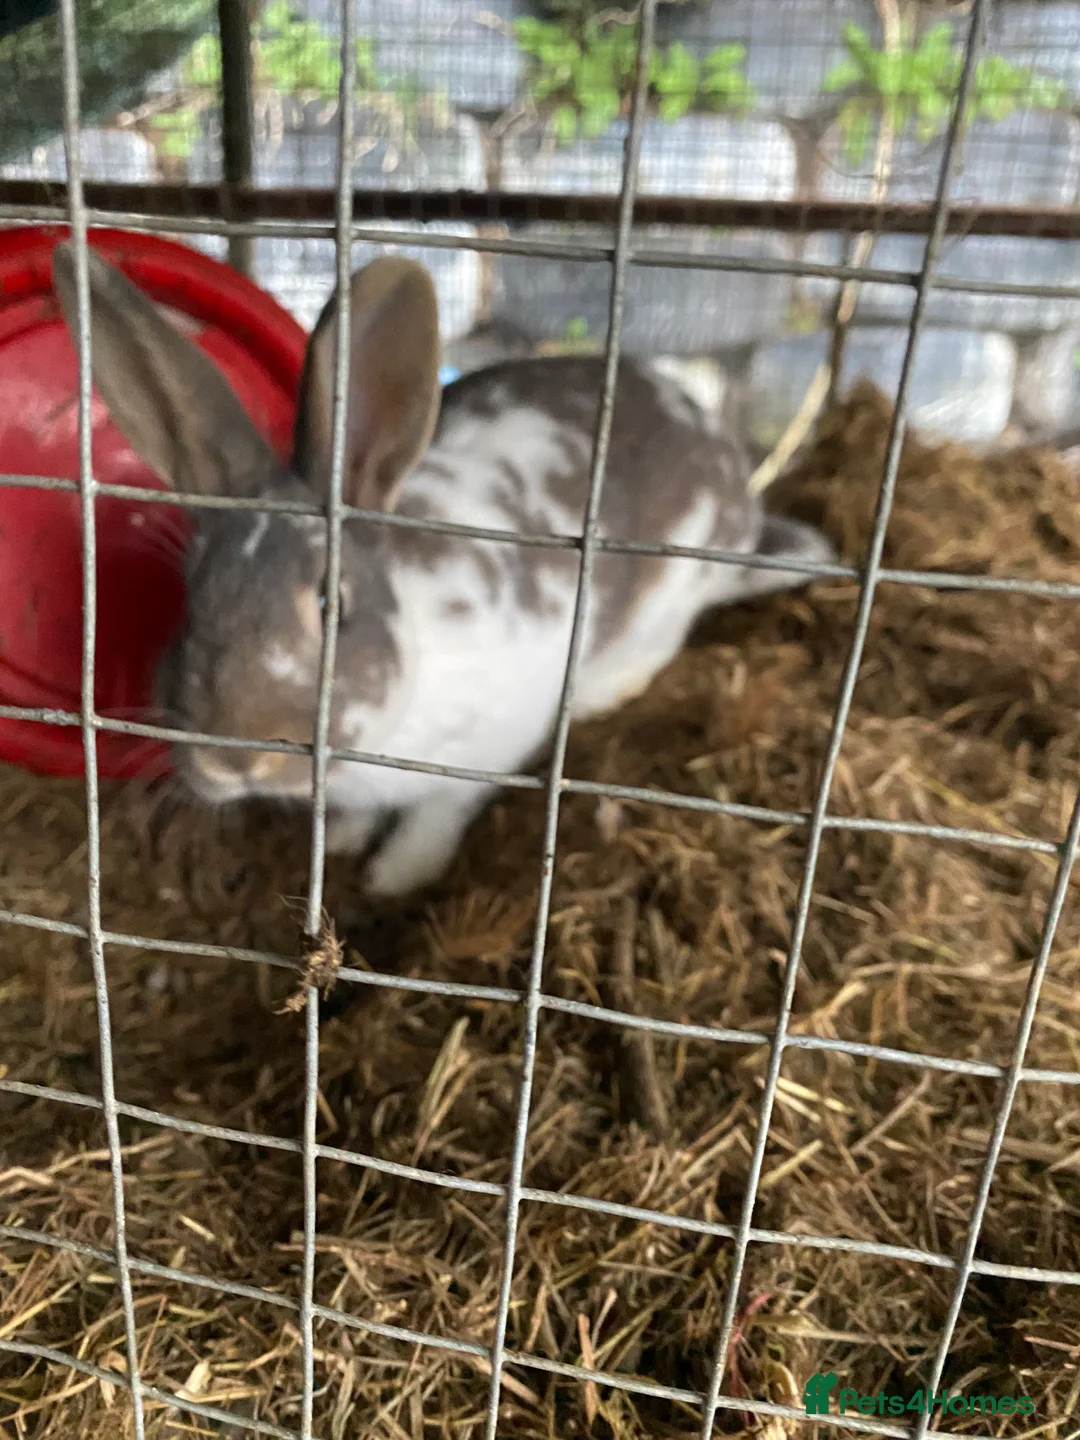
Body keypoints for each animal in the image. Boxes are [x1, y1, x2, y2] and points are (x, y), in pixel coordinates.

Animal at [51, 241, 835, 898]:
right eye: (191, 596)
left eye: (332, 605)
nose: (233, 761)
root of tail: (737, 479)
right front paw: (345, 843)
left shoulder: (481, 752)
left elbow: (438, 813)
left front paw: (394, 877)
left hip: (669, 594)